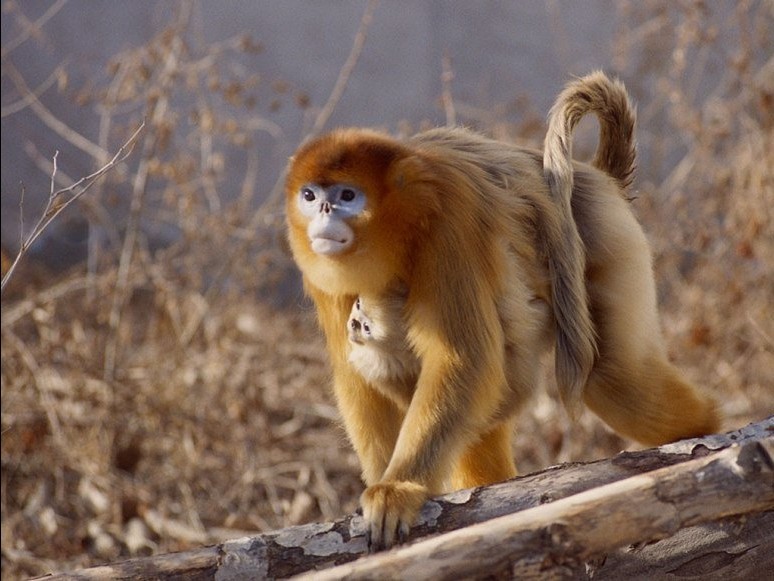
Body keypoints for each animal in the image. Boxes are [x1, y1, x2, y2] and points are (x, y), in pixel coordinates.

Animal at [284, 71, 720, 548]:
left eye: (347, 195)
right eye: (310, 195)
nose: (324, 210)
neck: (403, 221)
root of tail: (598, 178)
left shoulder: (449, 224)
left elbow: (463, 359)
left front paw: (398, 489)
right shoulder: (321, 269)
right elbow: (355, 374)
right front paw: (388, 484)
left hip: (608, 234)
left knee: (612, 378)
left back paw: (706, 438)